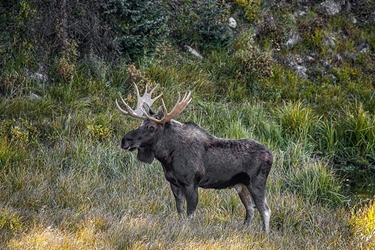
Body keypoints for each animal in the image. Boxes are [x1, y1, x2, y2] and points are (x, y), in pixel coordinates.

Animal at [117, 85, 274, 233]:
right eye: (140, 123)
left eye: (151, 127)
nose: (125, 140)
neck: (167, 157)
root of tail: (271, 155)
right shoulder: (174, 183)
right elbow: (180, 211)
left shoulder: (191, 183)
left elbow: (190, 213)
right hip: (241, 185)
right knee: (251, 207)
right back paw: (245, 229)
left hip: (256, 183)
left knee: (265, 209)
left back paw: (264, 234)